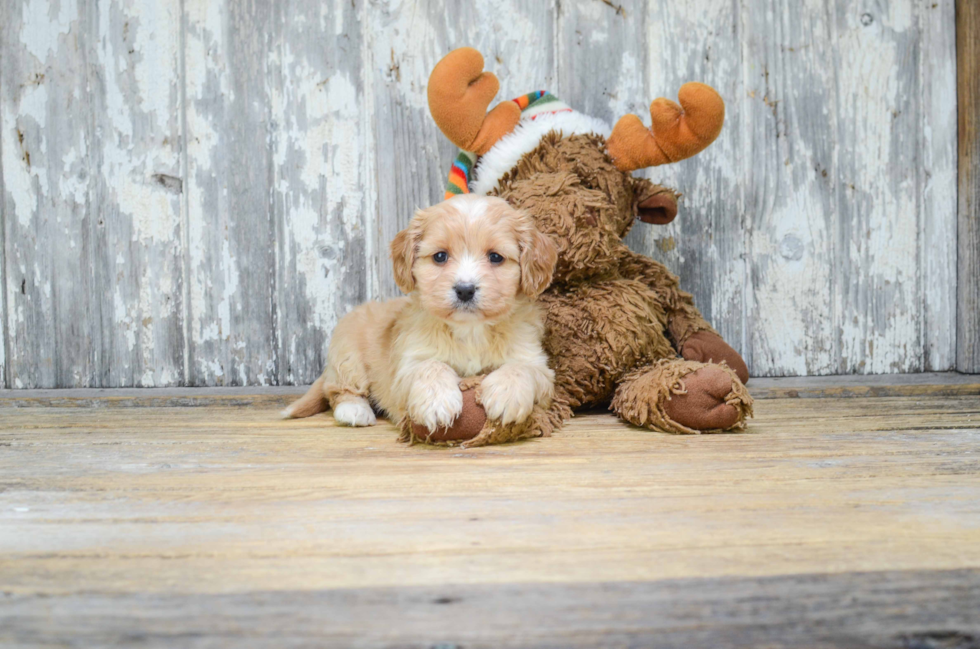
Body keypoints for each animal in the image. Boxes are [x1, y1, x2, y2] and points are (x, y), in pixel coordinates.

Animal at [284, 195, 560, 432]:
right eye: (440, 256)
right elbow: (431, 366)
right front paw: (437, 403)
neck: (470, 330)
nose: (465, 290)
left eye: (495, 257)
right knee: (339, 390)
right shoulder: (408, 364)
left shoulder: (537, 365)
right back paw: (354, 410)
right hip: (348, 355)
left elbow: (522, 369)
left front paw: (505, 394)